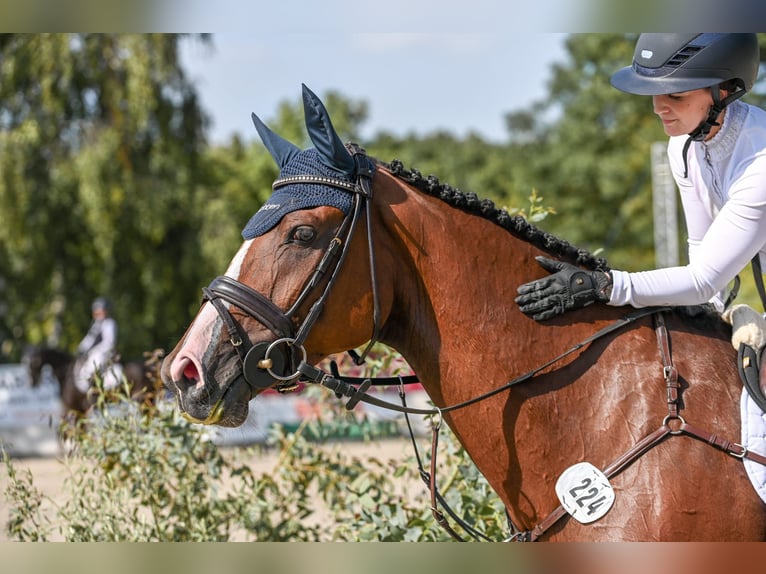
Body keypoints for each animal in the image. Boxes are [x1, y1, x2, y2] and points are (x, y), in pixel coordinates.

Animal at [25, 344, 165, 416]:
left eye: (32, 364)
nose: (32, 383)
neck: (66, 372)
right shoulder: (75, 409)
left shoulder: (73, 408)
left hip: (143, 400)